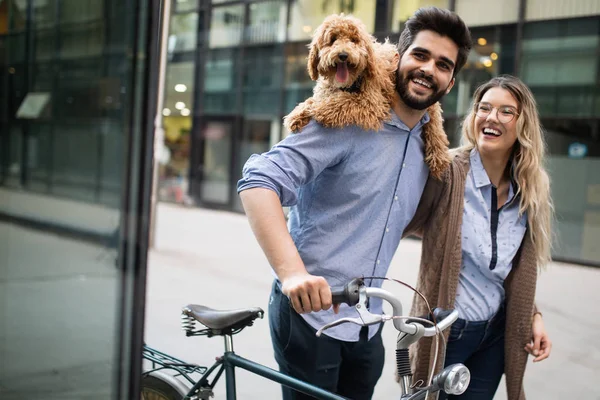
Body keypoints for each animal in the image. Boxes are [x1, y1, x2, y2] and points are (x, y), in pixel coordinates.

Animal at [286, 14, 450, 178]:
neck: (350, 85)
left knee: (435, 127)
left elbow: (343, 102)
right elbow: (314, 100)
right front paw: (298, 114)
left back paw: (438, 156)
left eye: (353, 40)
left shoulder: (371, 103)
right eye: (332, 39)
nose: (343, 55)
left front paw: (320, 110)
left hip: (432, 113)